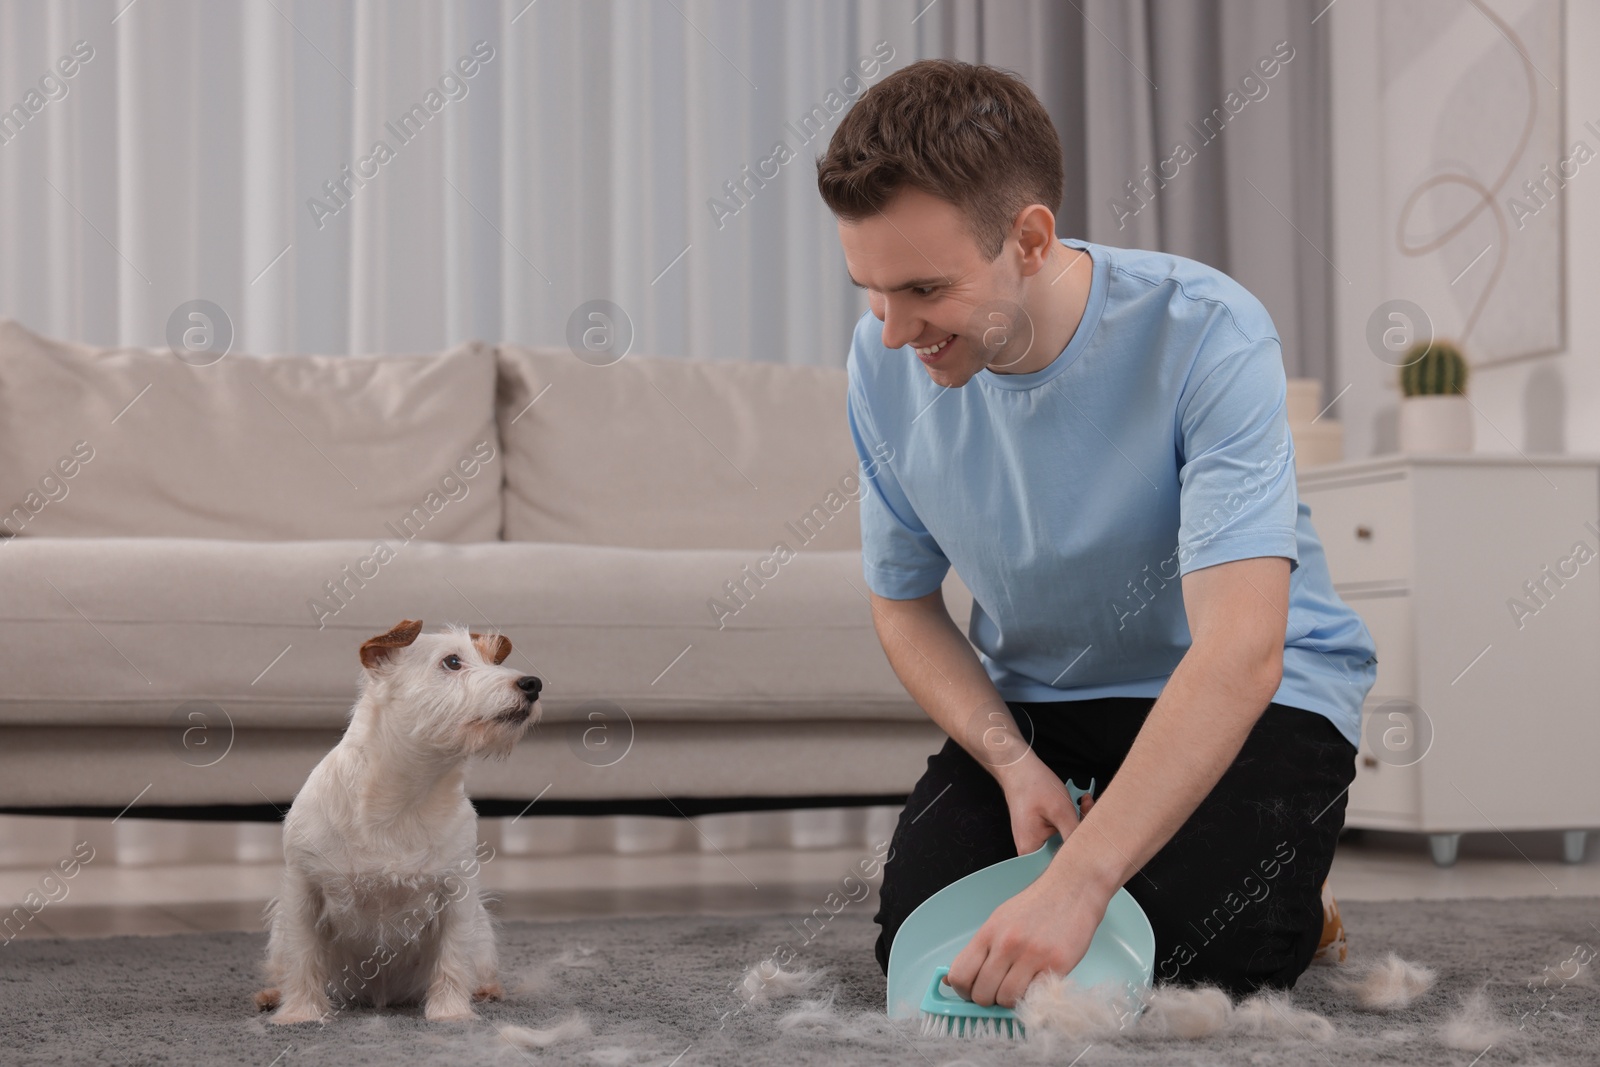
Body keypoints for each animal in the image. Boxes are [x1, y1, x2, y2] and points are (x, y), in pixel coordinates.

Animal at [256, 620, 540, 1023]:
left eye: (493, 661)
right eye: (452, 662)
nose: (533, 684)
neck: (407, 794)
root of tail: (380, 998)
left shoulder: (457, 894)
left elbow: (453, 958)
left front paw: (451, 1013)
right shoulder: (302, 890)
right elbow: (304, 958)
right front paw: (300, 1014)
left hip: (482, 932)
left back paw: (485, 990)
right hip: (280, 931)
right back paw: (272, 995)